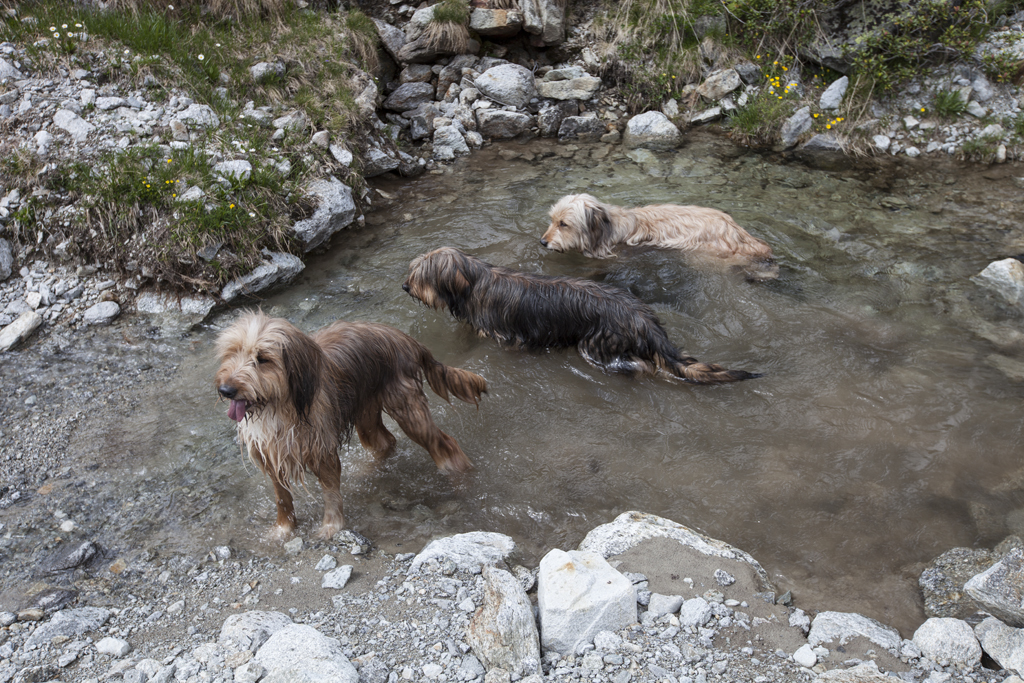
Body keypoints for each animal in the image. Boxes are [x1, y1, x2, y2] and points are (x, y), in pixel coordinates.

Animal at [214, 311, 487, 540]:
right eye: (232, 352)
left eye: (262, 359)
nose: (225, 390)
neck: (280, 406)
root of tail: (406, 338)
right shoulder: (270, 454)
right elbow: (282, 498)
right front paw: (283, 529)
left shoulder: (322, 451)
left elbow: (330, 493)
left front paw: (331, 527)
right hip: (366, 412)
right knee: (385, 442)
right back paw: (367, 471)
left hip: (408, 410)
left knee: (445, 443)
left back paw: (460, 479)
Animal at [403, 247, 761, 384]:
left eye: (420, 276)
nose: (405, 286)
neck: (475, 282)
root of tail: (642, 319)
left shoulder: (505, 336)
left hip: (598, 346)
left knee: (641, 364)